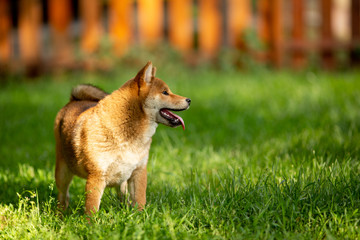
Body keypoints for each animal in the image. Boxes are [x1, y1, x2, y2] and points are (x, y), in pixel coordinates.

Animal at [53, 62, 191, 216]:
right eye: (165, 92)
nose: (189, 100)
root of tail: (74, 100)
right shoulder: (97, 177)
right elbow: (92, 209)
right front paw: (91, 223)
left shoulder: (138, 172)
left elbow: (139, 201)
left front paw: (140, 218)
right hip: (62, 173)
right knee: (63, 197)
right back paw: (60, 216)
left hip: (121, 181)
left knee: (122, 197)